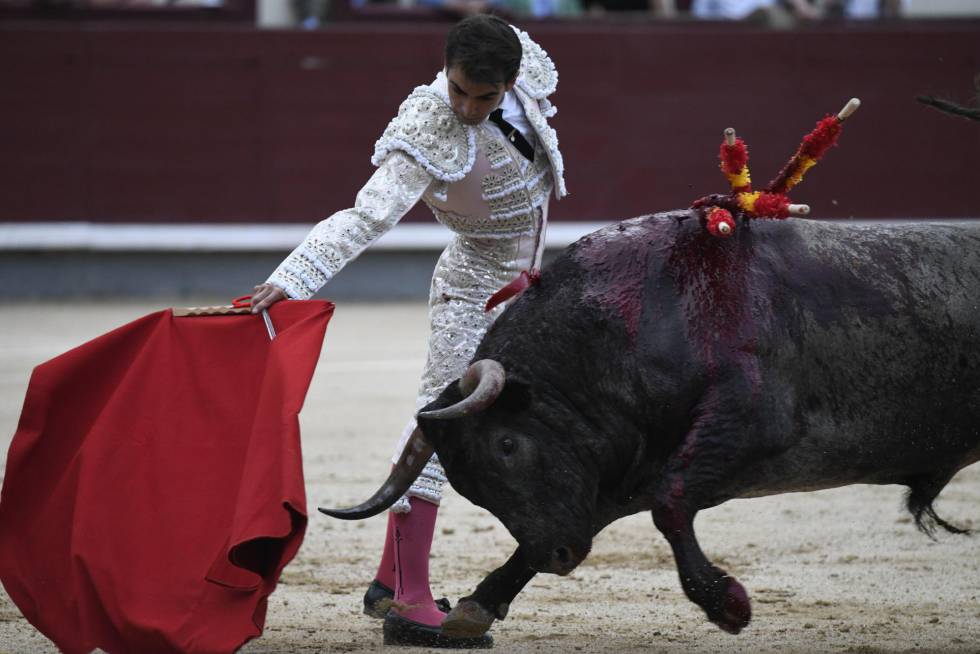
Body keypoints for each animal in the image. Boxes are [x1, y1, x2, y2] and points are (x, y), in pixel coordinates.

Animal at [324, 214, 980, 640]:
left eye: (507, 445)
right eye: (470, 488)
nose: (558, 556)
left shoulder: (752, 423)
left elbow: (670, 506)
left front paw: (728, 606)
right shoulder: (623, 471)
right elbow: (611, 513)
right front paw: (477, 606)